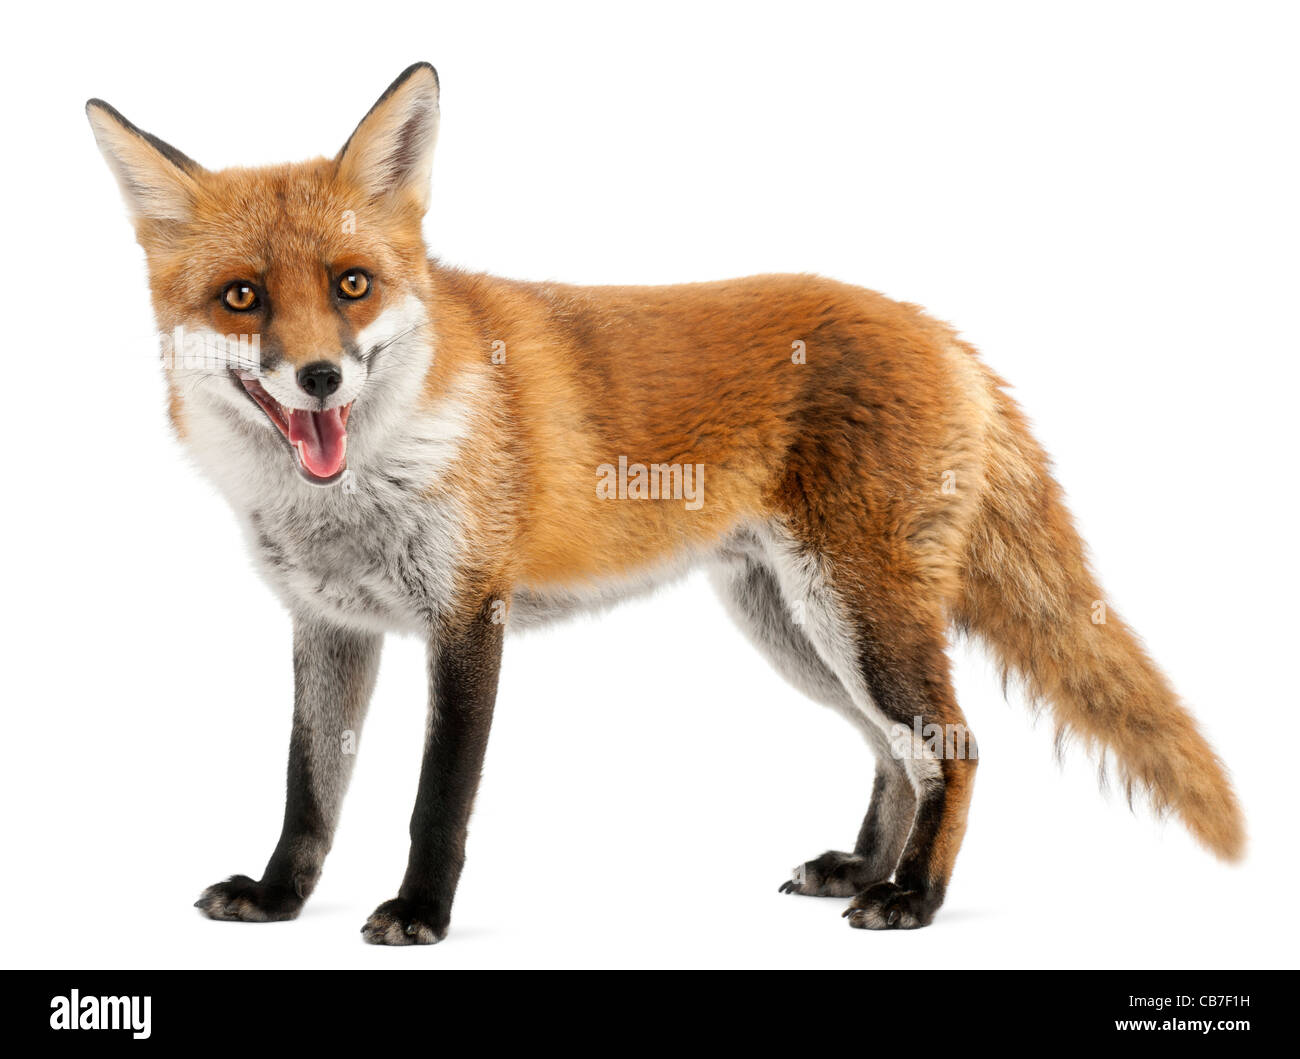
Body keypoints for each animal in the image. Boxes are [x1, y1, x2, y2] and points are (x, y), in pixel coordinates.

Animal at [86, 64, 1242, 945]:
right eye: (243, 298)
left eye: (351, 285)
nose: (321, 378)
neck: (362, 485)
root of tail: (938, 329)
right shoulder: (328, 624)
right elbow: (308, 786)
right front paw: (280, 897)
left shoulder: (468, 615)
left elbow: (436, 801)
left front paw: (419, 915)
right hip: (793, 627)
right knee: (894, 753)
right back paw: (865, 866)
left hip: (855, 617)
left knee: (949, 746)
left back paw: (913, 894)